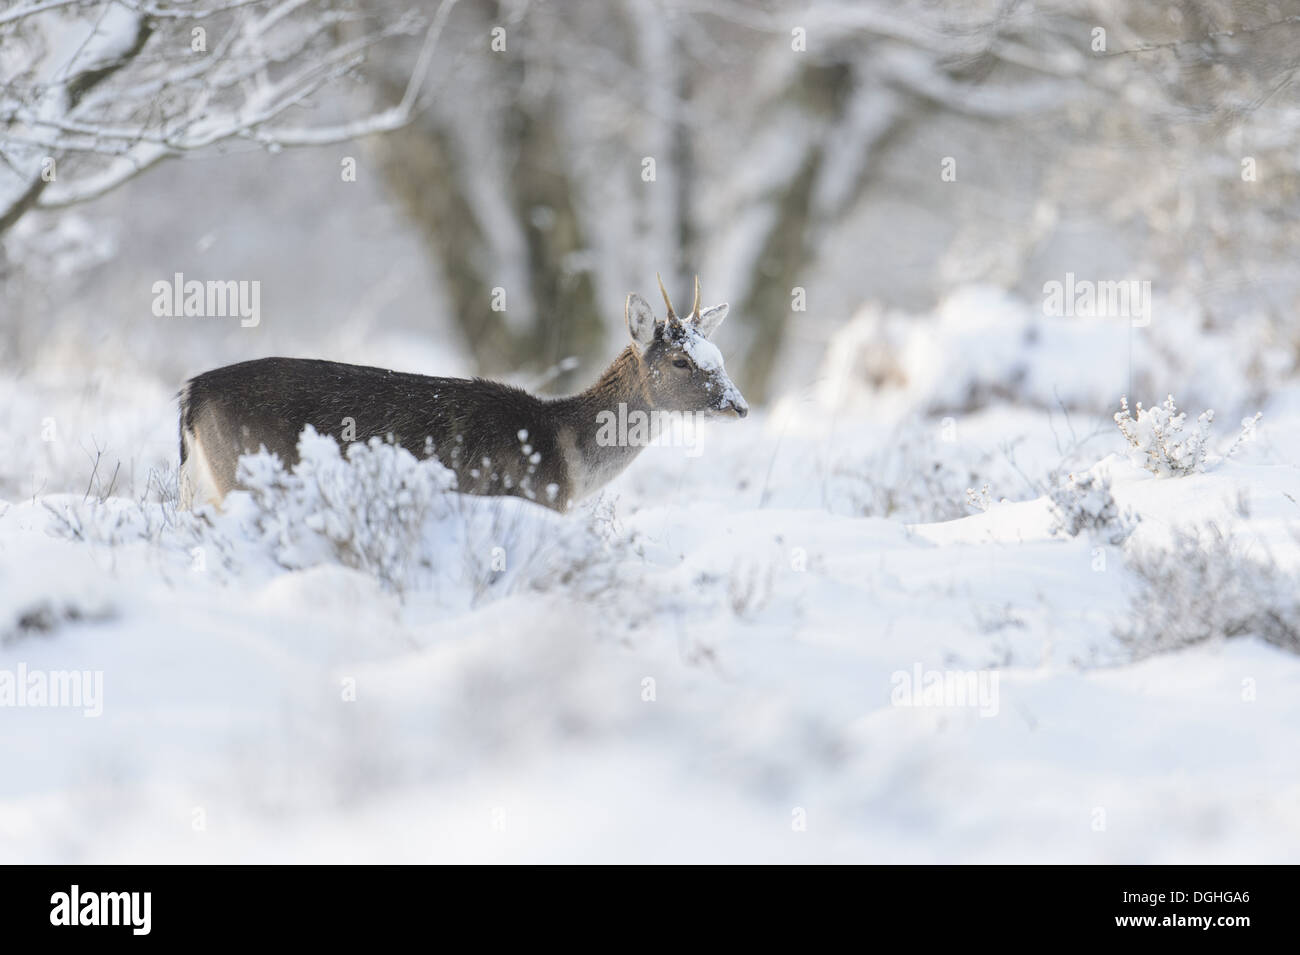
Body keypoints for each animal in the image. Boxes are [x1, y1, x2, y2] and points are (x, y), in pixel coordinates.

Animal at [184, 276, 754, 511]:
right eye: (681, 361)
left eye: (720, 356)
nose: (740, 406)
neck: (566, 459)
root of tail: (192, 395)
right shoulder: (525, 496)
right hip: (244, 471)